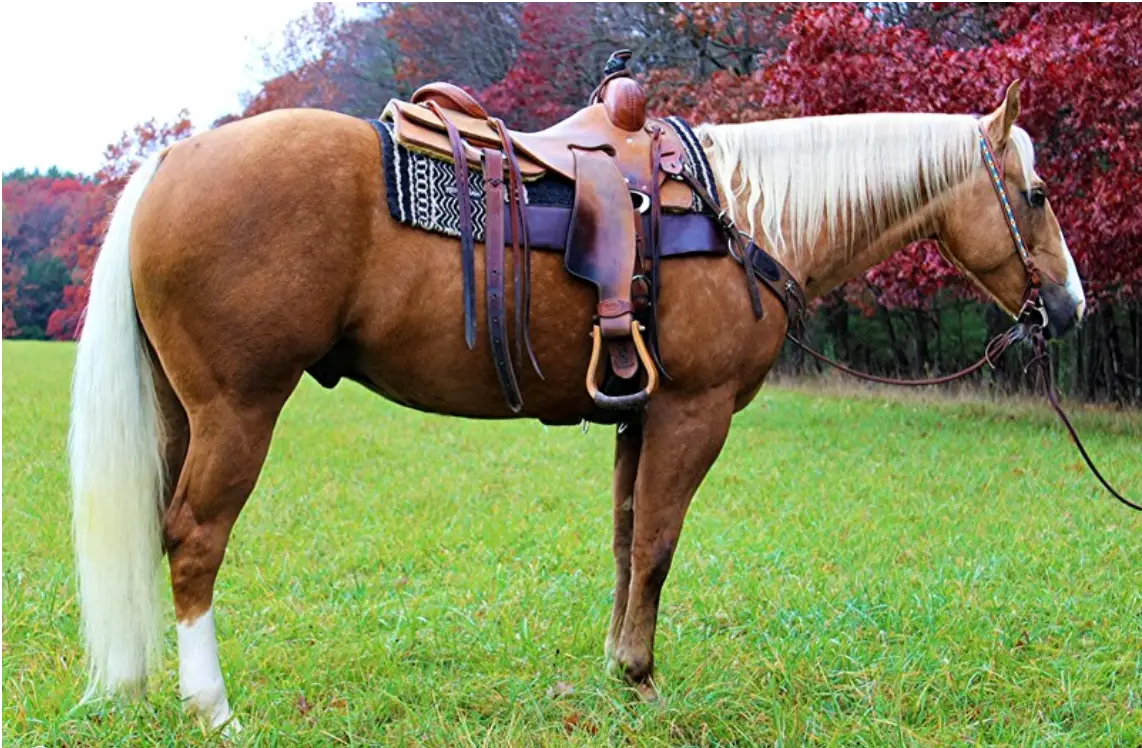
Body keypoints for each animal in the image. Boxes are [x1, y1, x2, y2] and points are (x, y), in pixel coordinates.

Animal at [68, 80, 1084, 731]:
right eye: (1035, 193)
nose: (1071, 308)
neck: (742, 216)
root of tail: (173, 160)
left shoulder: (640, 416)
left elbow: (629, 540)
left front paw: (615, 672)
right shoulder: (693, 415)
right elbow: (662, 546)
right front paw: (642, 679)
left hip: (182, 412)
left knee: (159, 529)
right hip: (239, 409)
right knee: (196, 537)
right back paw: (212, 707)